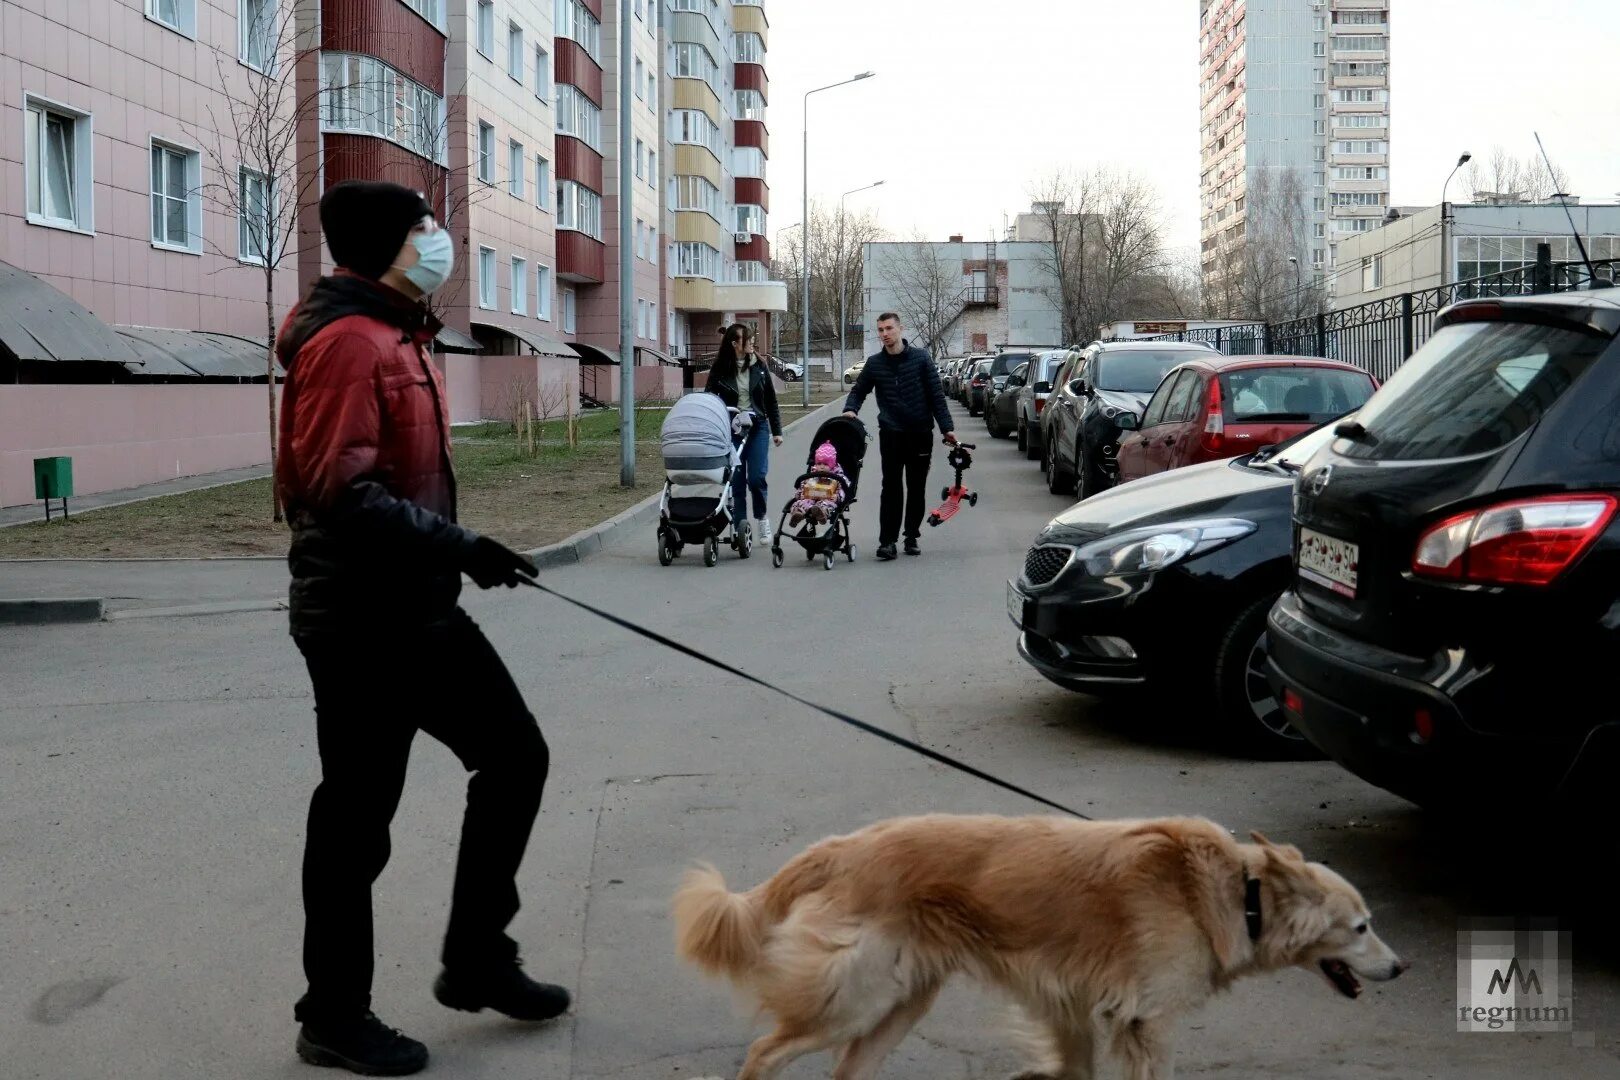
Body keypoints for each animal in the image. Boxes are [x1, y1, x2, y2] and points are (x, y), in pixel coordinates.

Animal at [670, 816, 1406, 1075]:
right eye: (1362, 926)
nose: (1403, 966)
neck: (1236, 891)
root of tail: (844, 847)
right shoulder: (1147, 1022)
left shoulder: (1072, 1003)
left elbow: (1074, 1068)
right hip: (858, 1001)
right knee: (765, 1052)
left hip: (898, 1006)